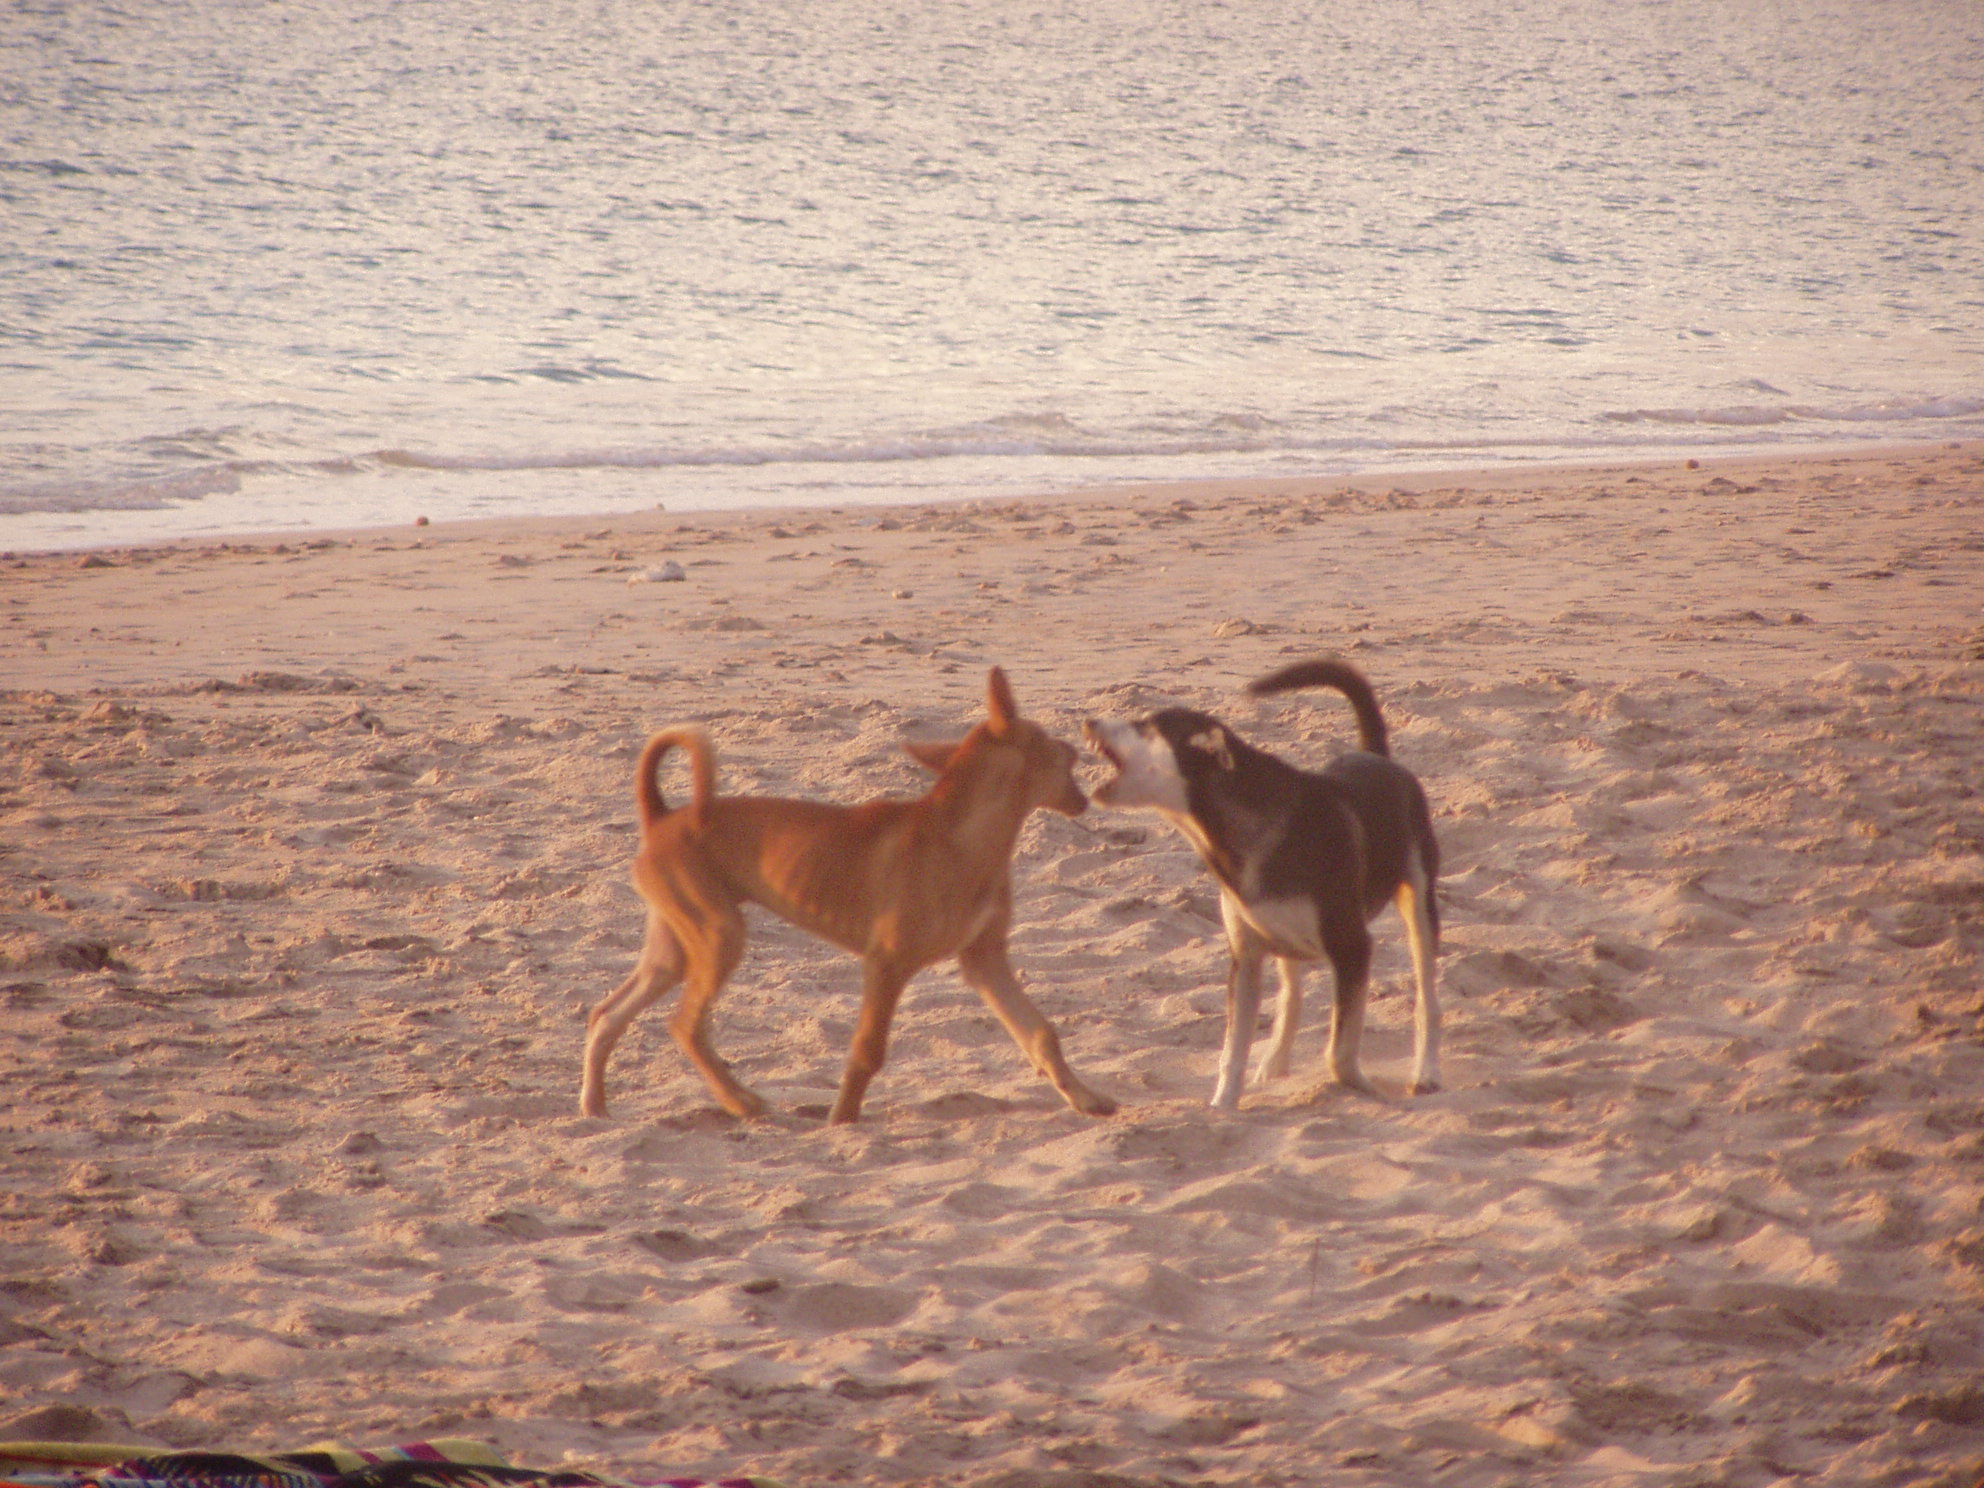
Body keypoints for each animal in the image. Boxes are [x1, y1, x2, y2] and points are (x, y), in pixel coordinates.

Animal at [579, 670, 1126, 1126]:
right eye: (1049, 743)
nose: (1077, 743)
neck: (961, 839)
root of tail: (662, 817)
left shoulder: (985, 962)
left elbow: (1040, 1034)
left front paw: (1085, 1098)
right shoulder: (886, 965)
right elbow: (867, 1051)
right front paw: (842, 1120)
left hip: (673, 951)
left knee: (606, 1015)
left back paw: (595, 1106)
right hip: (719, 937)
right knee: (686, 1026)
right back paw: (741, 1102)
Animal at [1087, 662, 1444, 1111]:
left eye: (1146, 726)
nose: (1088, 721)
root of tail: (1376, 755)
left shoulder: (1353, 946)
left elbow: (1338, 1052)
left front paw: (1365, 1090)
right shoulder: (1246, 955)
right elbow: (1233, 1051)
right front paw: (1221, 1108)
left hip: (1419, 900)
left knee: (1427, 997)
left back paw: (1426, 1072)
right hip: (1281, 938)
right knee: (1291, 993)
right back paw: (1275, 1060)